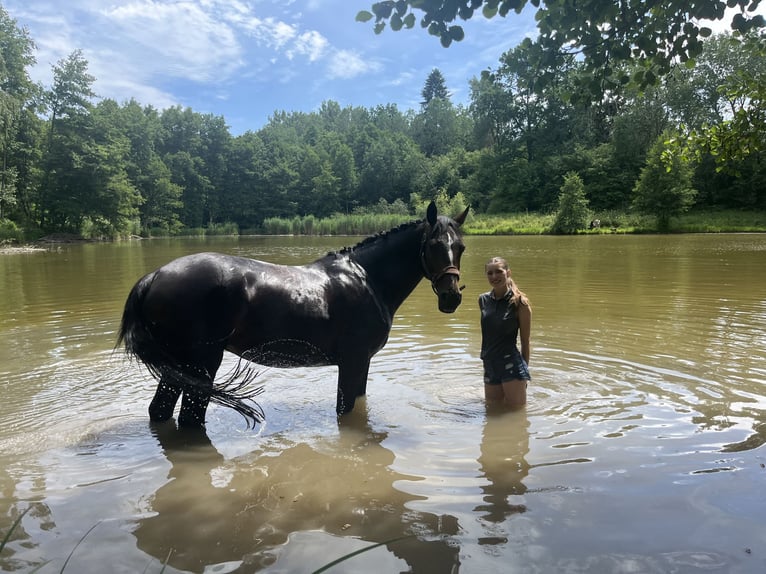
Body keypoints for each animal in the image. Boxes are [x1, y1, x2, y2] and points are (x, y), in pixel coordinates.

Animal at [118, 202, 472, 428]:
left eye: (460, 247)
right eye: (433, 245)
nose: (451, 297)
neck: (367, 278)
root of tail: (153, 277)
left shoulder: (362, 364)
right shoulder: (353, 361)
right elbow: (345, 411)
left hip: (178, 365)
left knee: (160, 411)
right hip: (202, 362)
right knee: (190, 418)